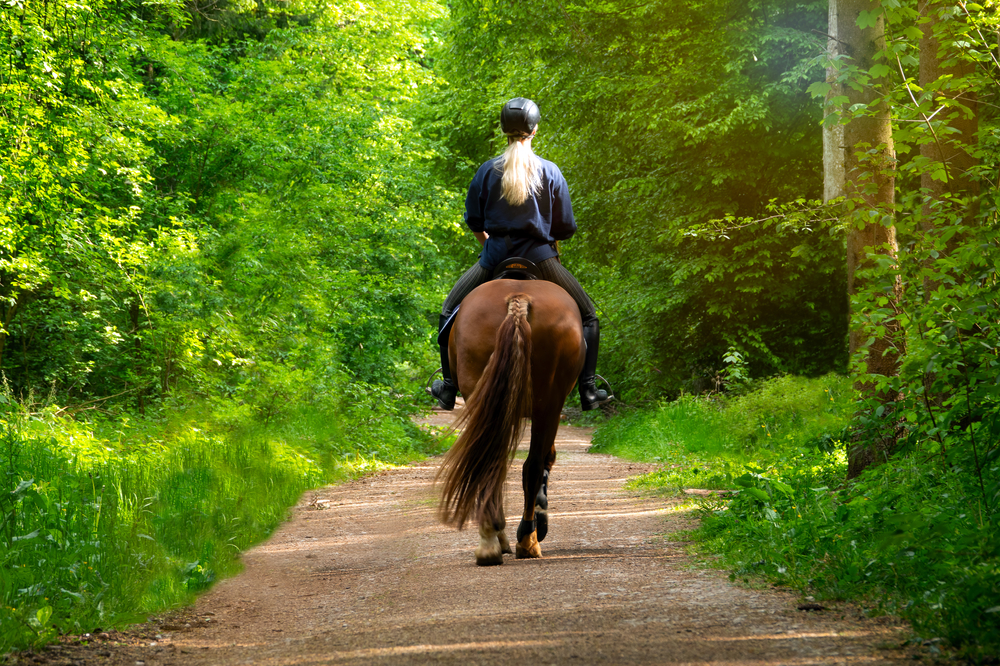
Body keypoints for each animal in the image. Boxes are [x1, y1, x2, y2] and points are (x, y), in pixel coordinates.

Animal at [438, 278, 584, 564]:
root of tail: (519, 298)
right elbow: (545, 459)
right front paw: (539, 519)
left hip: (489, 398)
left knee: (492, 461)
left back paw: (492, 541)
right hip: (547, 405)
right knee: (530, 465)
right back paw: (525, 539)